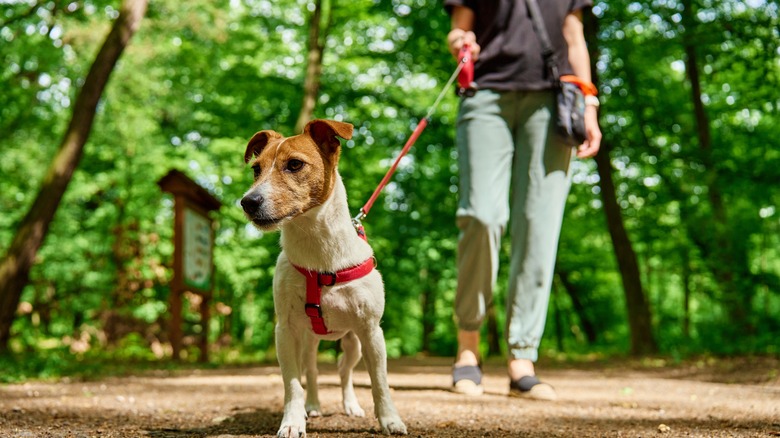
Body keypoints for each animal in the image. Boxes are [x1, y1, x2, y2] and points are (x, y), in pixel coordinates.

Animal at [241, 120, 408, 438]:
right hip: (308, 341)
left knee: (344, 370)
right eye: (256, 169)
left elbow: (380, 382)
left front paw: (390, 419)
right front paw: (293, 421)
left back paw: (351, 405)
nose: (247, 202)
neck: (319, 253)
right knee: (312, 370)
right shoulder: (285, 331)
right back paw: (314, 405)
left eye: (294, 164)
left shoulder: (372, 331)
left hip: (355, 343)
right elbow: (292, 384)